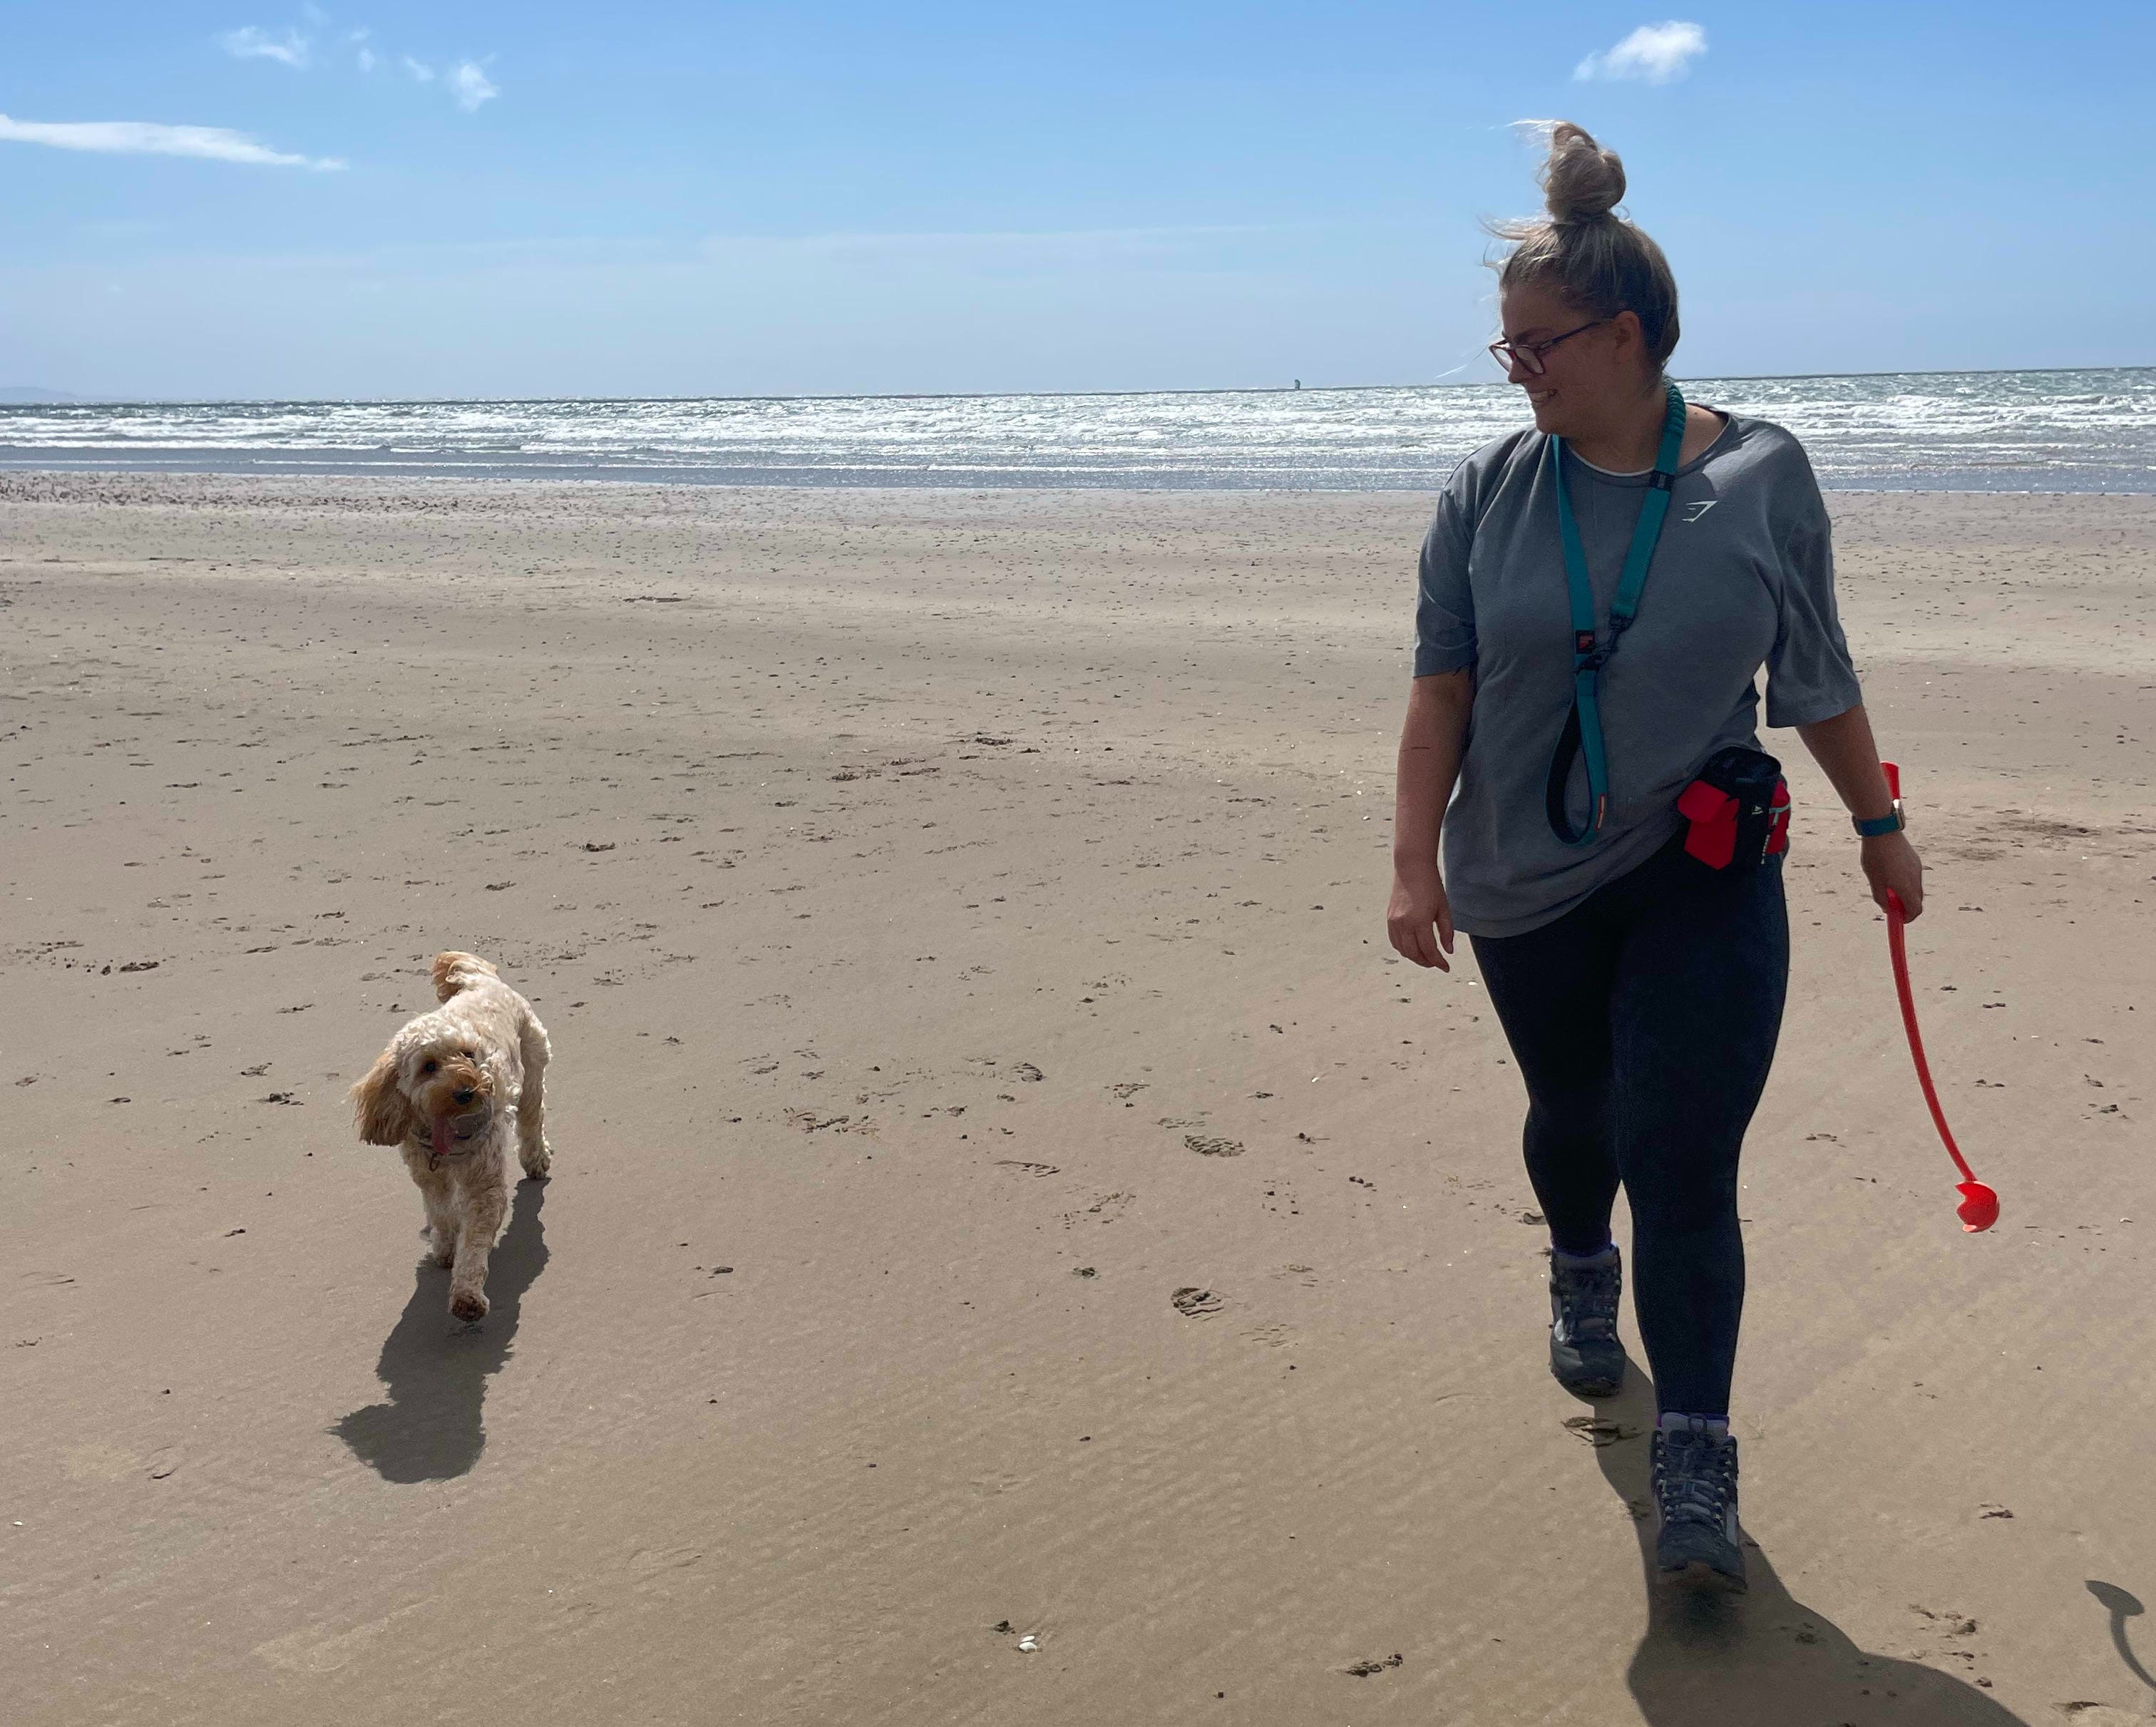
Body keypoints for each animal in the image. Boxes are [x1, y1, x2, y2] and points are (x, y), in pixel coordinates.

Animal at [349, 948, 552, 1311]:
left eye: (469, 1054)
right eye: (428, 1067)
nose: (467, 1091)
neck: (446, 1136)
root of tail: (485, 981)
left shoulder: (483, 1185)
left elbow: (473, 1243)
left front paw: (467, 1297)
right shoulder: (428, 1175)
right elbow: (441, 1211)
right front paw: (445, 1247)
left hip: (531, 1067)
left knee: (532, 1116)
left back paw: (536, 1160)